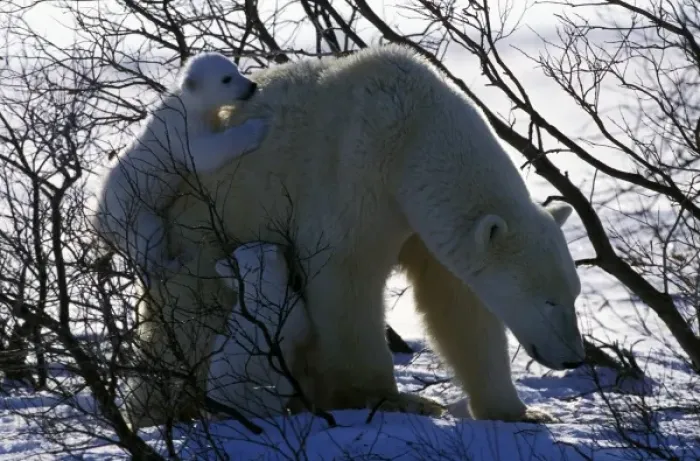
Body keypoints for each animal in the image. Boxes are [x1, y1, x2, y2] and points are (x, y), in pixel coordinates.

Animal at [91, 52, 269, 278]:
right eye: (226, 79)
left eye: (236, 69)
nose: (252, 86)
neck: (188, 104)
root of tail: (99, 220)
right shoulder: (180, 130)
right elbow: (202, 154)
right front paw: (256, 126)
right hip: (133, 211)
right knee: (149, 238)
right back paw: (172, 264)